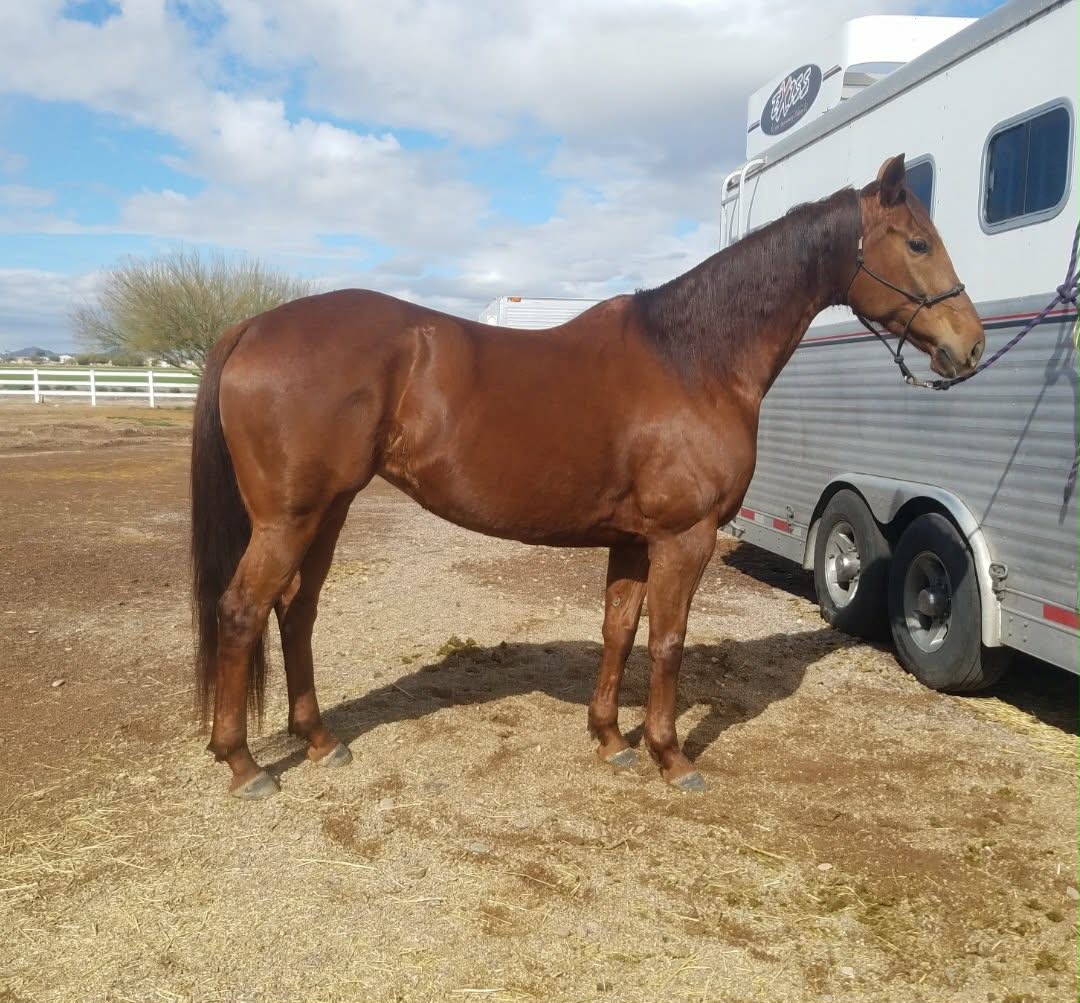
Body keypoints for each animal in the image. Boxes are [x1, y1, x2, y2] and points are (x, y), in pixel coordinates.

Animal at [190, 154, 984, 799]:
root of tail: (253, 327)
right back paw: (244, 763)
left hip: (327, 511)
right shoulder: (684, 537)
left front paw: (610, 740)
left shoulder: (634, 538)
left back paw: (320, 741)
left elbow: (618, 629)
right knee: (241, 610)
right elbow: (666, 641)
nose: (970, 345)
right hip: (290, 518)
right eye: (918, 241)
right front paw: (671, 756)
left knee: (295, 611)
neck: (693, 358)